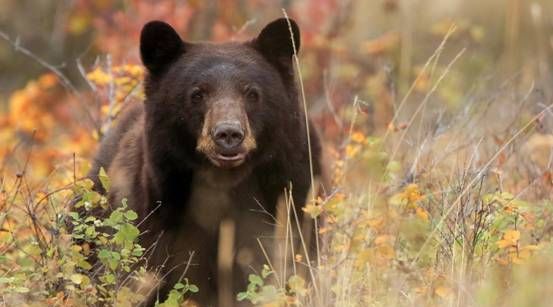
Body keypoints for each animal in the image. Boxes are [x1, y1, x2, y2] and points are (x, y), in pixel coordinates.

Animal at [89, 18, 324, 306]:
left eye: (252, 93)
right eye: (197, 94)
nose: (228, 134)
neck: (226, 185)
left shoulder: (294, 195)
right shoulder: (157, 217)